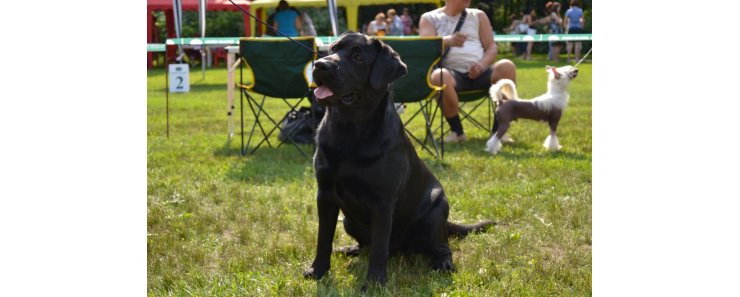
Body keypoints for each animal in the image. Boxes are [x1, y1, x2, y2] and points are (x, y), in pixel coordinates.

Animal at [304, 33, 494, 286]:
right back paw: (349, 249)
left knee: (440, 247)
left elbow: (379, 247)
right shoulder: (325, 195)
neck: (349, 130)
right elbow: (323, 239)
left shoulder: (382, 201)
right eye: (332, 49)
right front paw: (318, 271)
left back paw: (443, 264)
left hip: (436, 211)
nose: (320, 65)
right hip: (348, 221)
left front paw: (374, 283)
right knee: (367, 245)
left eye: (358, 57)